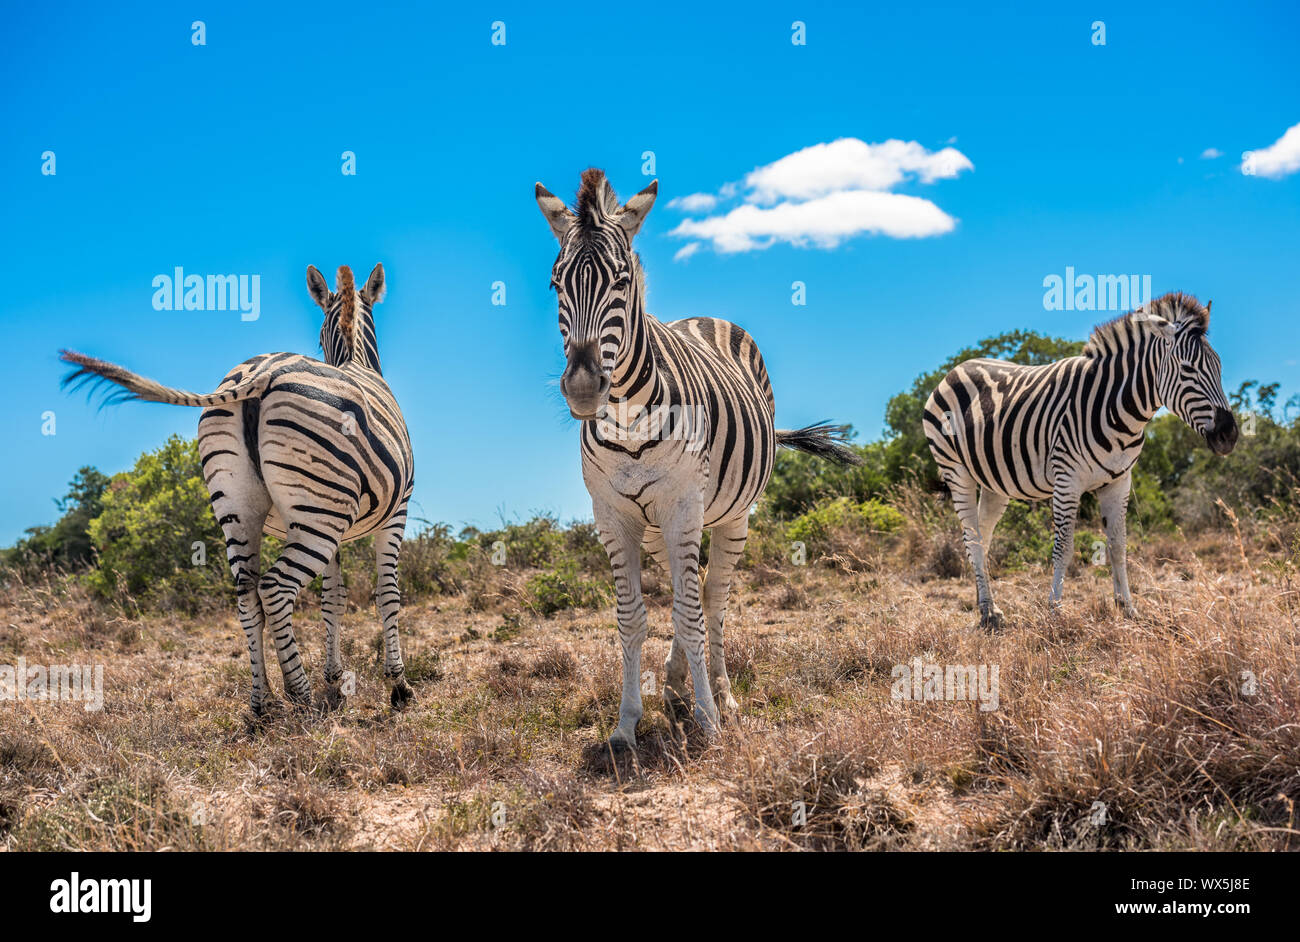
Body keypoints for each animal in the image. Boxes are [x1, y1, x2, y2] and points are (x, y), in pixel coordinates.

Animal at [59, 265, 416, 712]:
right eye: (319, 341)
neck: (356, 360)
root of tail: (260, 373)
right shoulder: (396, 512)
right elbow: (387, 593)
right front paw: (398, 686)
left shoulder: (341, 527)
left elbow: (333, 598)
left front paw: (335, 680)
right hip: (318, 516)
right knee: (275, 588)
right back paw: (300, 696)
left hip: (244, 508)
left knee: (248, 595)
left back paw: (263, 703)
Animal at [533, 165, 857, 748]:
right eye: (556, 284)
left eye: (622, 280)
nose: (584, 389)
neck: (628, 420)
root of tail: (704, 316)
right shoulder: (614, 514)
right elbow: (632, 617)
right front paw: (627, 723)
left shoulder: (682, 504)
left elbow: (690, 612)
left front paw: (708, 720)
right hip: (659, 526)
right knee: (694, 594)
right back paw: (676, 684)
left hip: (730, 516)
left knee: (712, 598)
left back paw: (722, 697)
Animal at [925, 289, 1237, 628]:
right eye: (1187, 369)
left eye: (1220, 367)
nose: (1230, 435)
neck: (1118, 408)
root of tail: (955, 369)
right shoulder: (1067, 480)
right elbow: (1064, 547)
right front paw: (1055, 612)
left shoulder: (1119, 481)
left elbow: (1118, 546)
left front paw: (1127, 609)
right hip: (956, 471)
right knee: (971, 536)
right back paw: (986, 613)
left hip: (995, 481)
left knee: (983, 536)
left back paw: (986, 604)